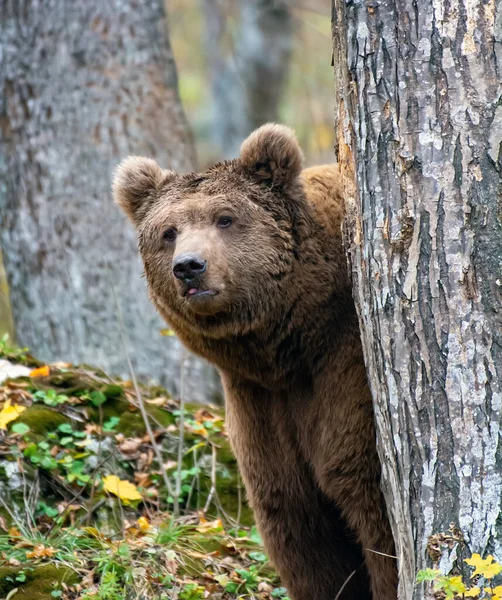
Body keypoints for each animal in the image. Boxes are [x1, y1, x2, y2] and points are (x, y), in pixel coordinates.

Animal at [113, 123, 396, 600]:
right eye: (168, 231)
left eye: (225, 218)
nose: (189, 267)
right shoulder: (260, 404)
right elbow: (298, 527)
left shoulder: (345, 370)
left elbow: (369, 499)